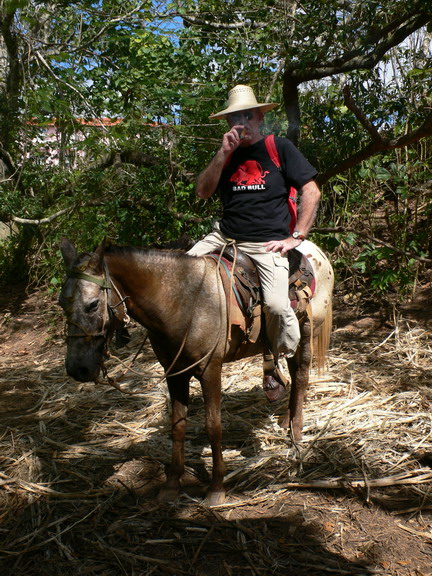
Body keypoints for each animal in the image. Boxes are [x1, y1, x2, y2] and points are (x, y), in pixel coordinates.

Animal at [58, 237, 334, 504]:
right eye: (62, 304)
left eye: (93, 304)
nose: (77, 369)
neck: (183, 301)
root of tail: (316, 252)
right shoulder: (174, 373)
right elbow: (177, 426)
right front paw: (171, 485)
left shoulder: (210, 370)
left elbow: (213, 427)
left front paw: (216, 487)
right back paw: (286, 420)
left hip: (306, 334)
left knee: (301, 378)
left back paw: (296, 434)